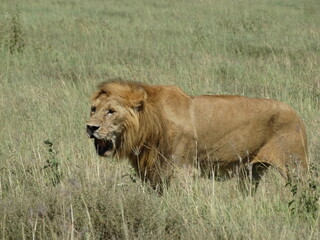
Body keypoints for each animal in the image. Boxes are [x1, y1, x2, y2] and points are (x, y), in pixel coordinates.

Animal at [85, 79, 308, 192]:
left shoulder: (183, 171)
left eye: (111, 111)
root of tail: (296, 113)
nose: (90, 127)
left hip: (295, 167)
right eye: (93, 109)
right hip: (251, 172)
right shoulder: (154, 173)